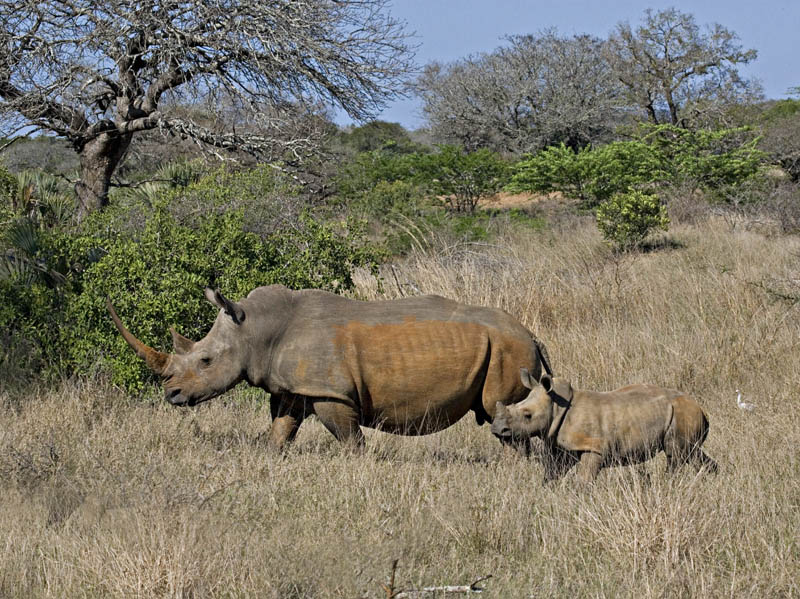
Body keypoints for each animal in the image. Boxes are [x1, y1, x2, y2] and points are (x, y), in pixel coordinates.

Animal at [106, 286, 552, 450]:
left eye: (205, 360)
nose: (172, 395)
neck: (256, 330)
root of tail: (533, 335)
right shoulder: (295, 387)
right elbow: (281, 429)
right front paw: (271, 457)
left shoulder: (329, 391)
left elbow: (349, 439)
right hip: (506, 345)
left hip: (507, 347)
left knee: (499, 409)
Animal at [494, 368, 720, 486]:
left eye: (527, 415)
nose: (497, 429)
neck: (556, 406)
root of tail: (701, 409)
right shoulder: (563, 445)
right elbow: (553, 473)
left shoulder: (593, 446)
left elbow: (585, 479)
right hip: (682, 414)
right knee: (692, 453)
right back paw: (713, 479)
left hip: (681, 414)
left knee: (676, 454)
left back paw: (668, 485)